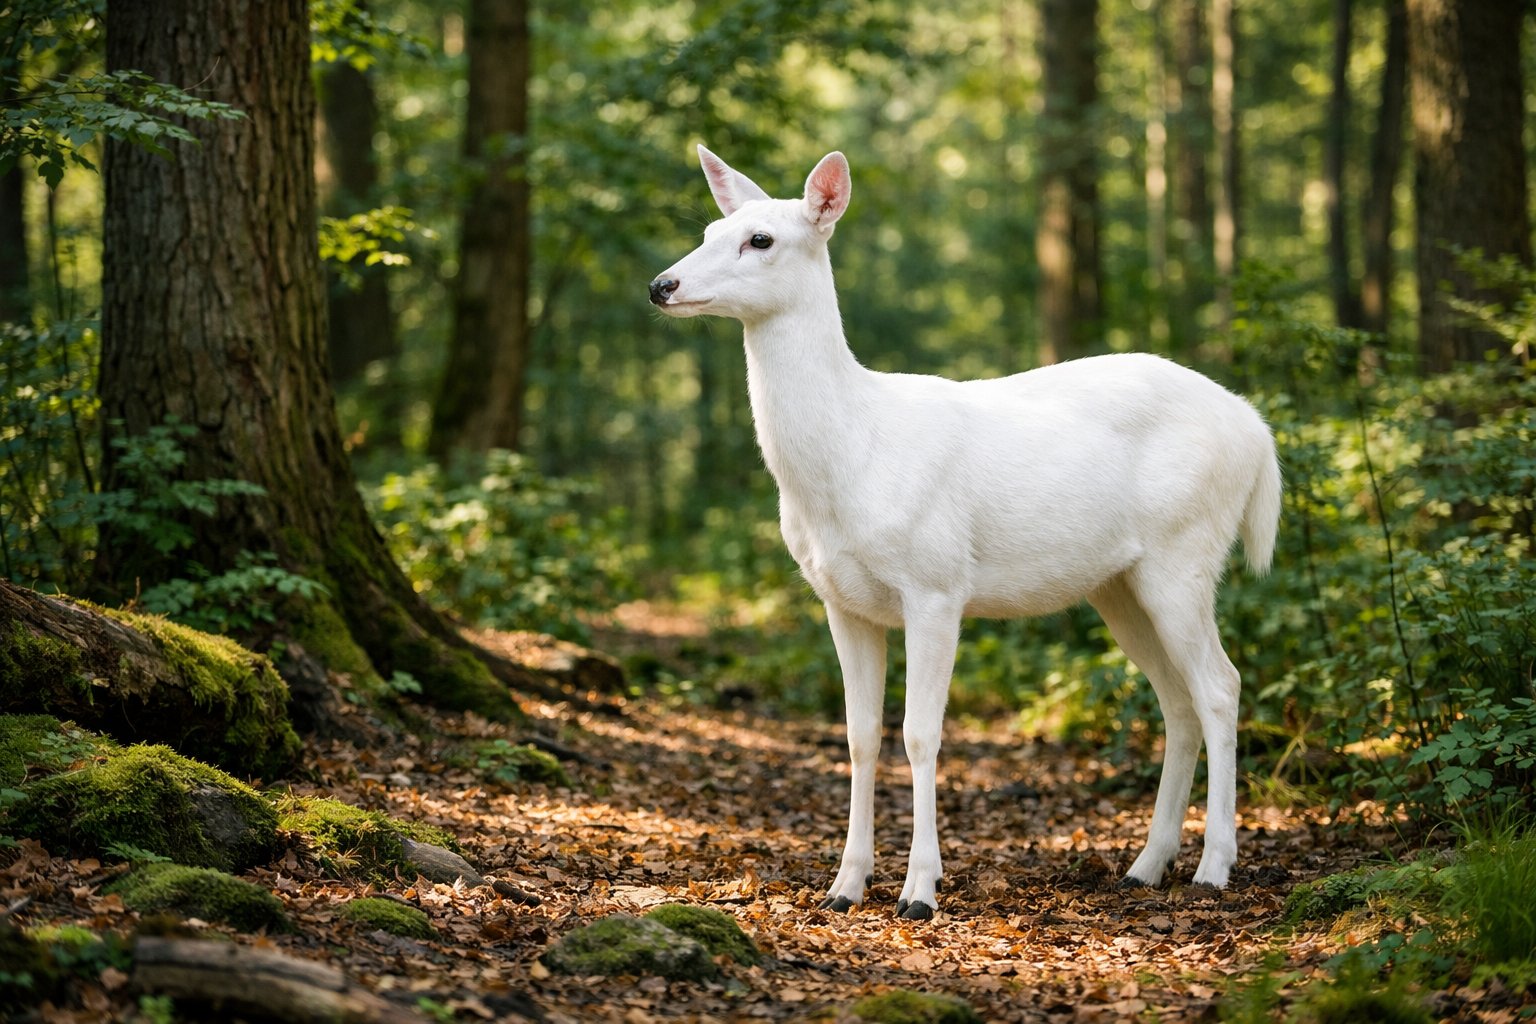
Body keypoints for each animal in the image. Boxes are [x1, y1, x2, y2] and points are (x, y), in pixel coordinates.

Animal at [649, 146, 1282, 920]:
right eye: (711, 228)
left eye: (760, 239)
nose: (662, 285)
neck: (853, 453)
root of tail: (1256, 430)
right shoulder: (841, 600)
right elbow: (859, 738)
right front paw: (845, 886)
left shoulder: (936, 583)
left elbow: (921, 734)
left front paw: (920, 891)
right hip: (1121, 584)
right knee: (1178, 702)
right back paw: (1146, 865)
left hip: (1185, 551)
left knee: (1221, 686)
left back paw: (1214, 867)